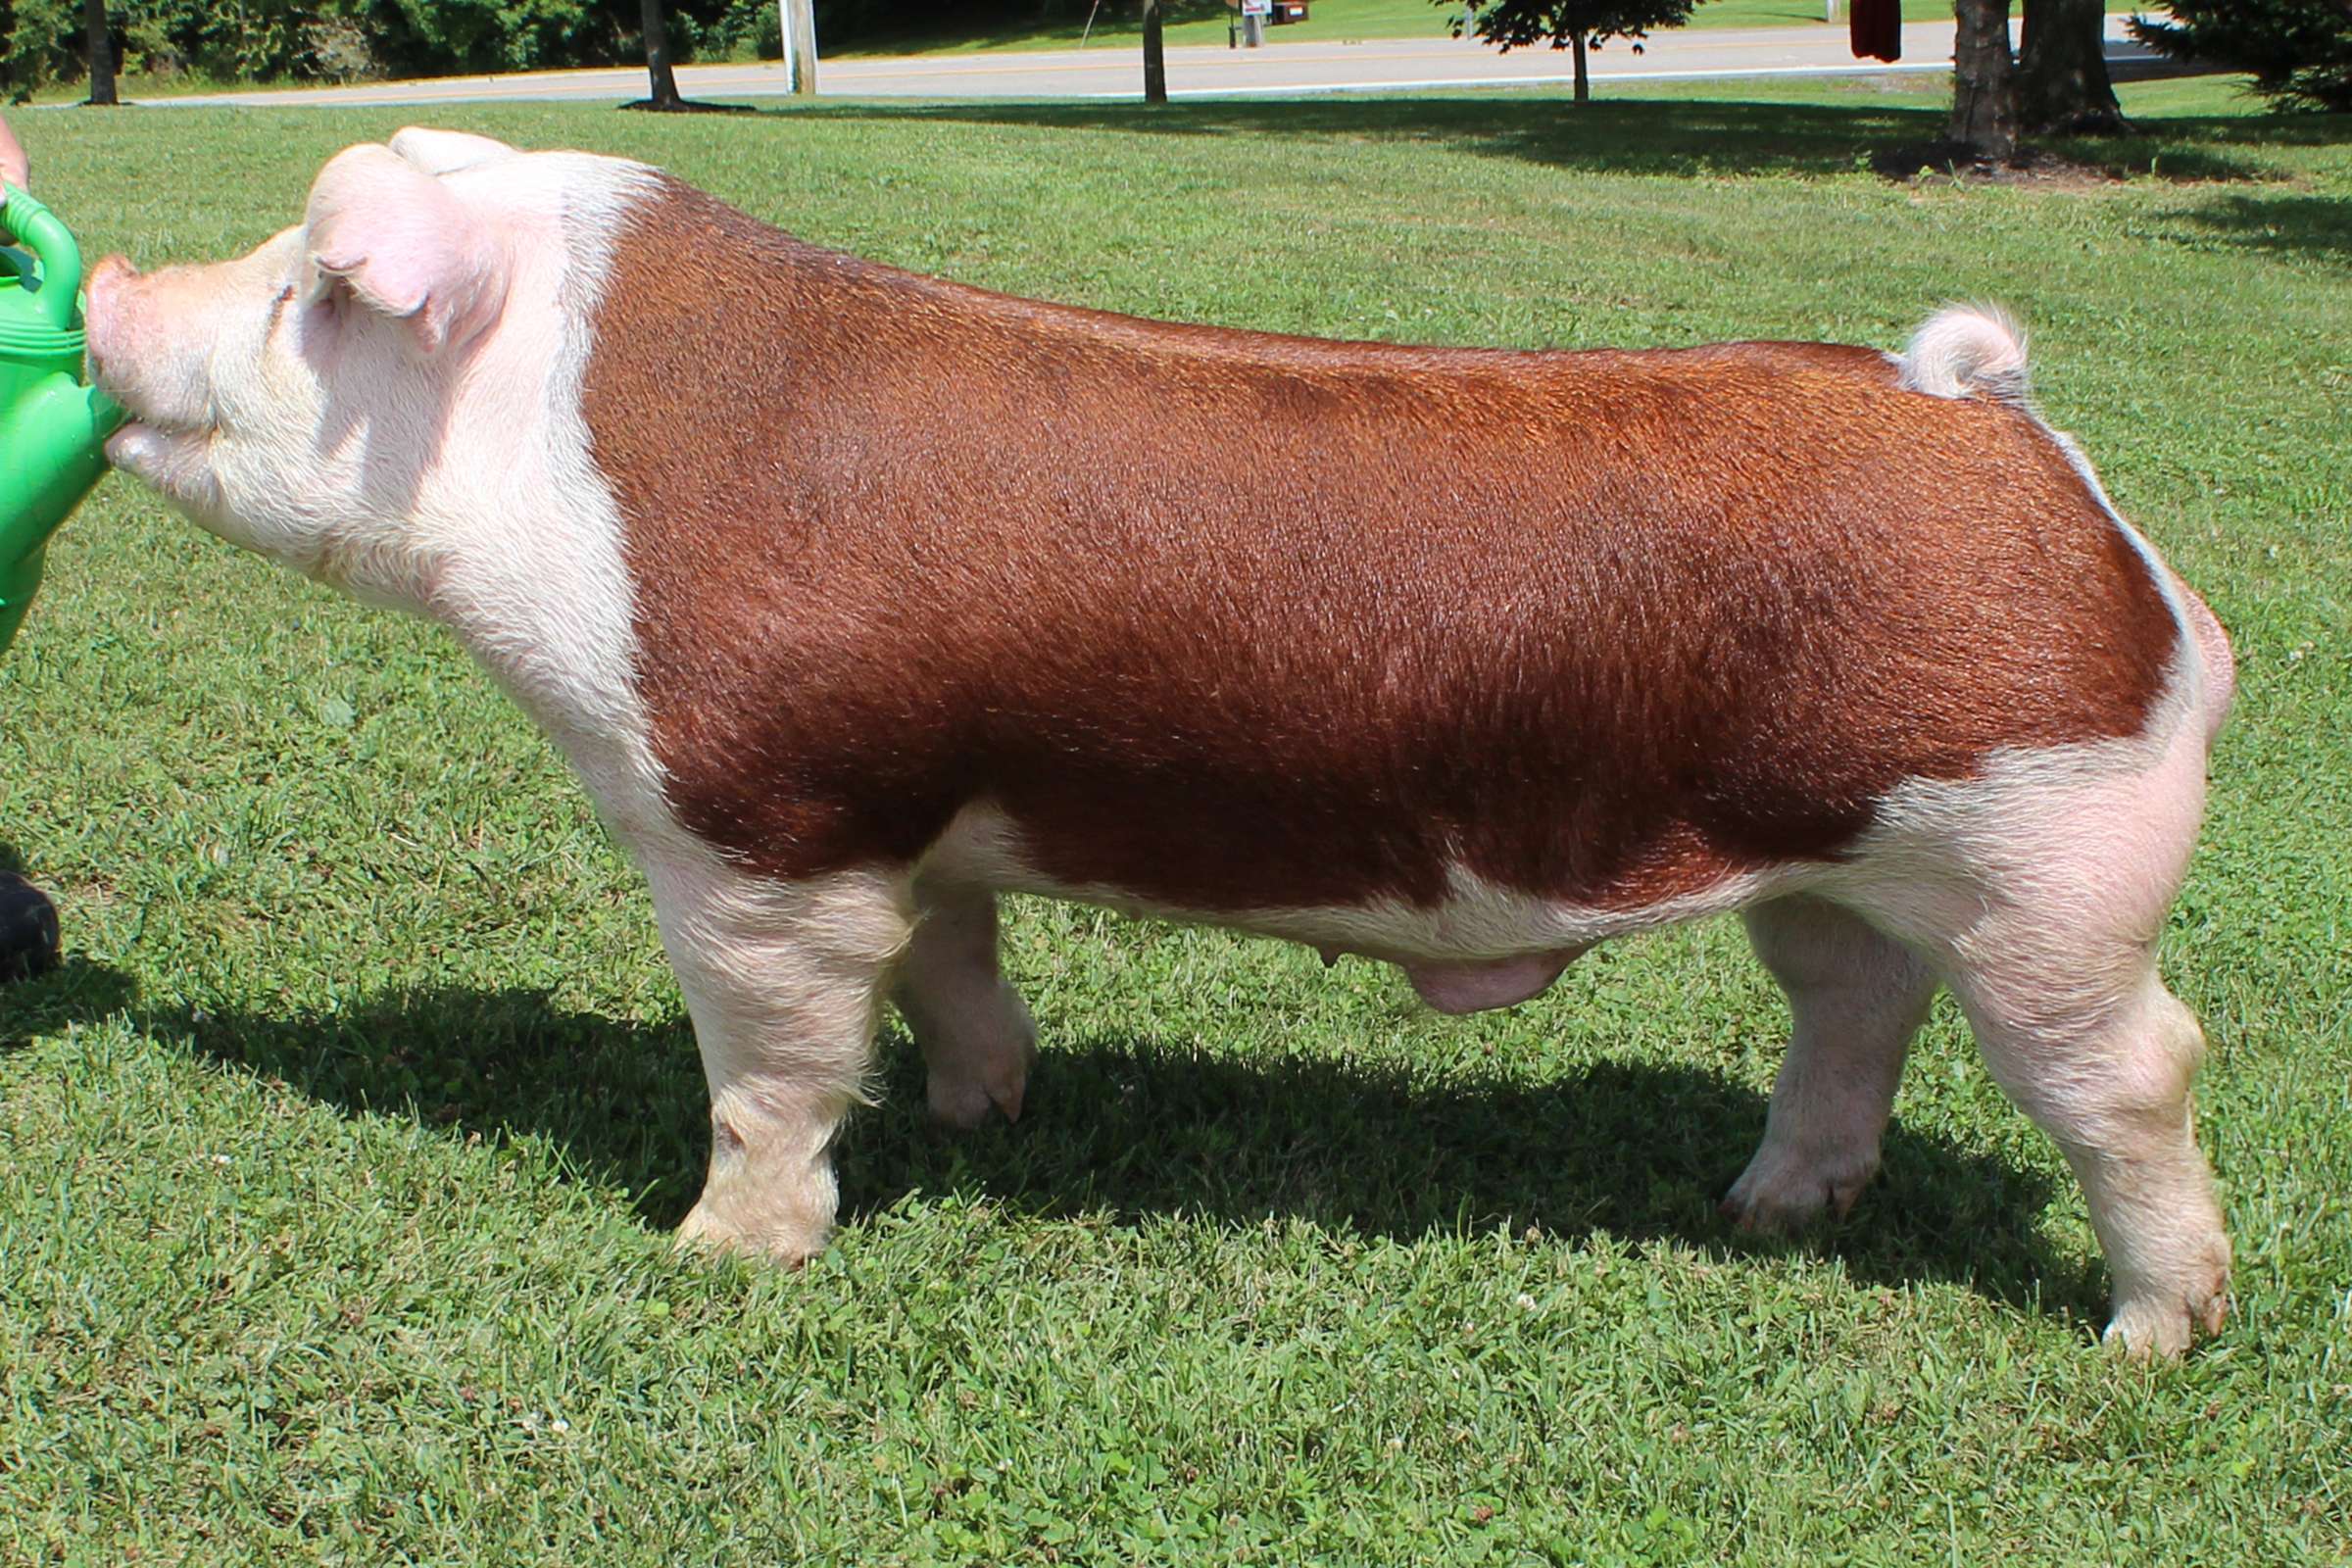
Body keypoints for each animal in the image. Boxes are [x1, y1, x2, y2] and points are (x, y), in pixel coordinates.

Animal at [84, 128, 2237, 1356]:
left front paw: (714, 1255)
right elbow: (951, 968)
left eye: (307, 289)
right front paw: (984, 1119)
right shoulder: (920, 815)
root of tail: (2003, 430)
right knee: (1851, 1009)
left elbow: (770, 1062)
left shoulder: (754, 814)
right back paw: (1763, 1212)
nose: (104, 281)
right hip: (1845, 859)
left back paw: (2150, 1338)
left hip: (2052, 859)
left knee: (2131, 1071)